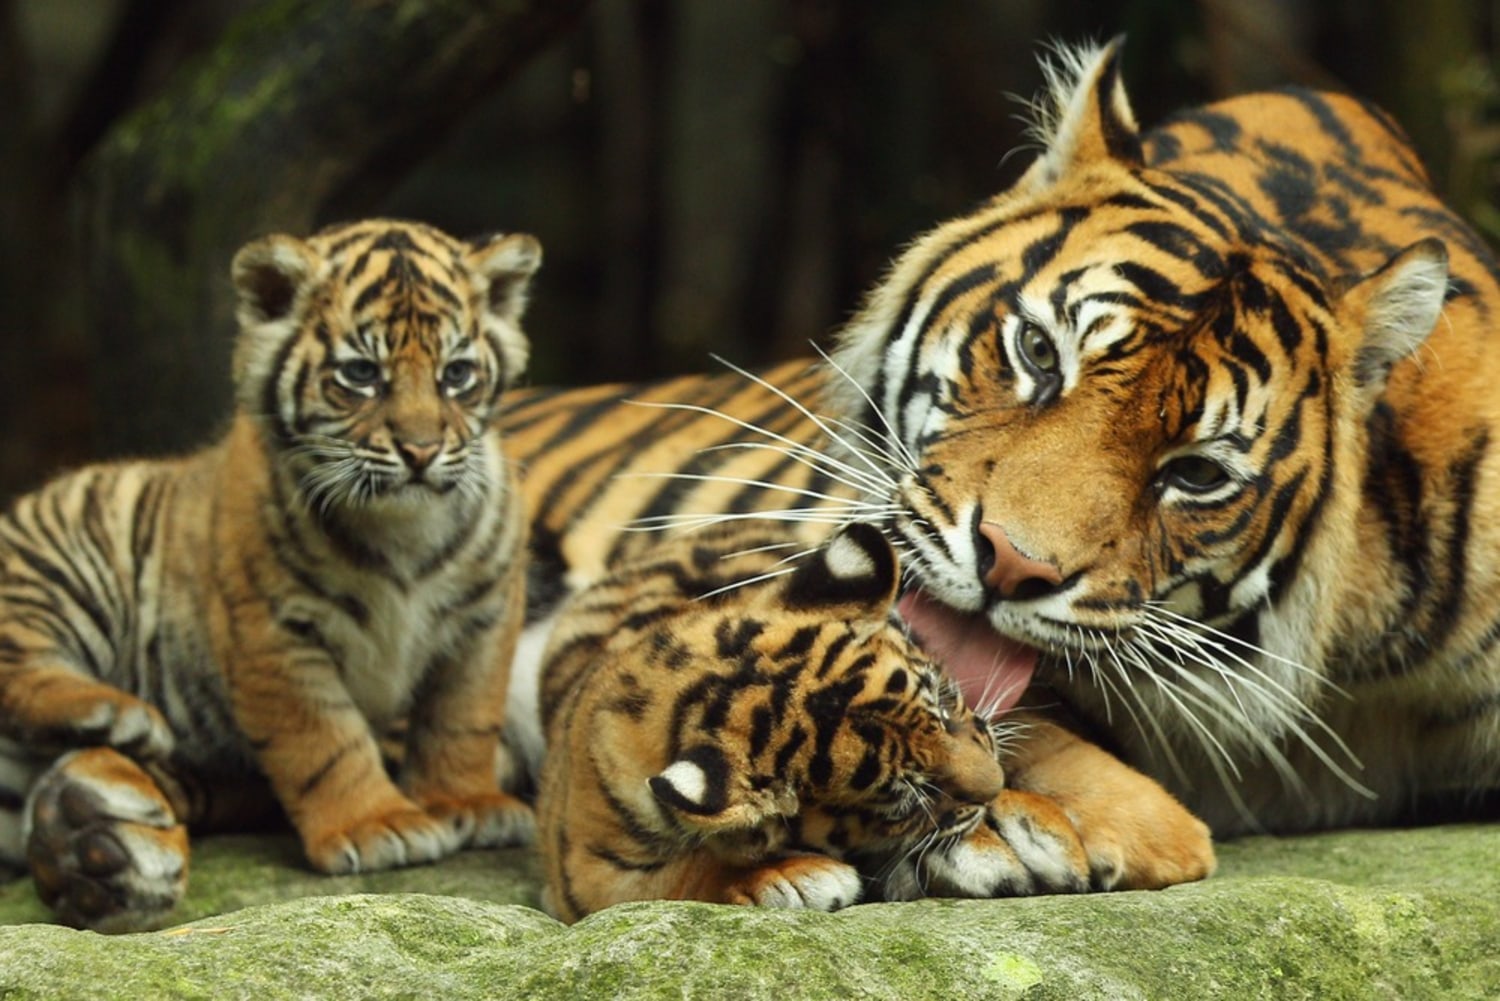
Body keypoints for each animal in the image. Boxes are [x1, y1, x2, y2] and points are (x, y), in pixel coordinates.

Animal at [0, 219, 540, 930]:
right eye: (361, 374)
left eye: (457, 375)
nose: (421, 451)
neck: (402, 527)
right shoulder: (274, 634)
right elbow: (326, 740)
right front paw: (378, 825)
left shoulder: (485, 618)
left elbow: (463, 716)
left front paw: (468, 805)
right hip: (67, 560)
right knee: (18, 663)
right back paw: (115, 714)